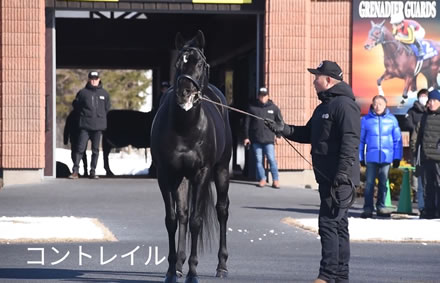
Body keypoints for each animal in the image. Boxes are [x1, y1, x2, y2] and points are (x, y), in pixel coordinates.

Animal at [151, 31, 232, 283]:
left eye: (200, 64)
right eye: (178, 63)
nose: (184, 93)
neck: (185, 128)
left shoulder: (202, 173)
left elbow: (196, 221)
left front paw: (193, 273)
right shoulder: (166, 174)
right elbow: (173, 220)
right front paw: (171, 272)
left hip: (221, 170)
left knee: (222, 210)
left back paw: (222, 266)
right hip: (181, 178)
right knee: (183, 215)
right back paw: (179, 265)